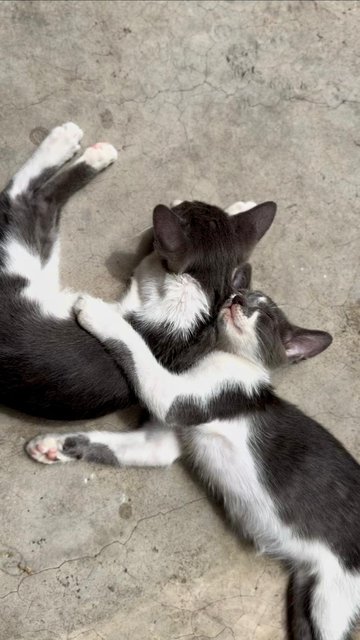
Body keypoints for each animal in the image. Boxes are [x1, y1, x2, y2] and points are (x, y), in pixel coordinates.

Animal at [0, 121, 276, 420]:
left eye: (182, 208)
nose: (175, 200)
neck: (198, 290)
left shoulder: (147, 270)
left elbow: (147, 247)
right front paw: (239, 208)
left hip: (24, 255)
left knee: (28, 198)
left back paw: (77, 146)